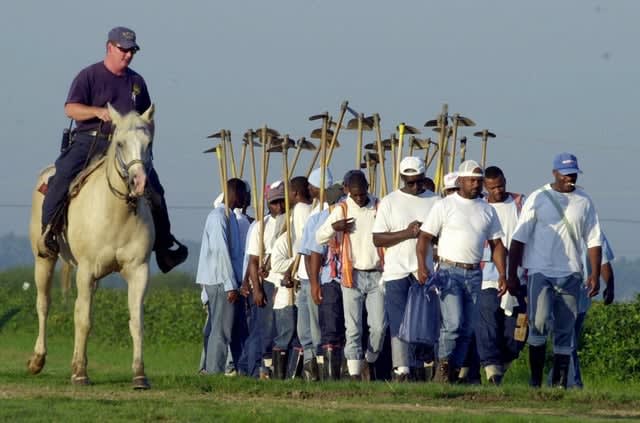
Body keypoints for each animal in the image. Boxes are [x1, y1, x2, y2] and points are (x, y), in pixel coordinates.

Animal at [27, 104, 158, 390]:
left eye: (149, 143)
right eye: (120, 143)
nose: (139, 182)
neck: (116, 212)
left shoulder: (139, 271)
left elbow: (136, 322)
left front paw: (139, 374)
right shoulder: (86, 270)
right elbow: (84, 320)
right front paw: (80, 374)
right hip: (44, 259)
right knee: (44, 304)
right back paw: (37, 360)